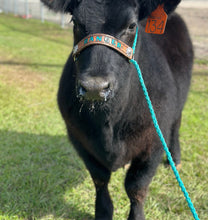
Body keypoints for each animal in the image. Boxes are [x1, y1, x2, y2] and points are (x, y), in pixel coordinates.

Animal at [40, 0, 193, 219]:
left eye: (131, 25)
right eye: (75, 22)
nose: (95, 87)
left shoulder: (154, 140)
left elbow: (136, 186)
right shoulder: (79, 137)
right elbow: (100, 179)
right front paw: (103, 212)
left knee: (176, 127)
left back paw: (176, 159)